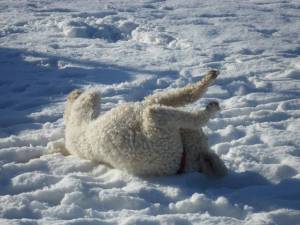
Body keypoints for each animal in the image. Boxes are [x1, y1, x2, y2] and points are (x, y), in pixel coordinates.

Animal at [56, 70, 226, 178]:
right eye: (205, 137)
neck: (183, 154)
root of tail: (69, 141)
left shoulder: (155, 117)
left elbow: (194, 117)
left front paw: (211, 109)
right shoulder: (154, 108)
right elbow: (184, 96)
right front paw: (207, 83)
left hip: (85, 111)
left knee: (77, 107)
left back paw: (74, 95)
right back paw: (74, 94)